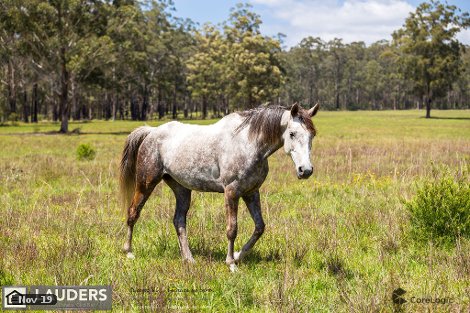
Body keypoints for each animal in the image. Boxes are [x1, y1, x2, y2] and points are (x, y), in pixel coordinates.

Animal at [120, 103, 320, 270]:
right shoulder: (231, 192)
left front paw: (238, 255)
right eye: (292, 133)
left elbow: (259, 227)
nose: (306, 170)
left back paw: (188, 258)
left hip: (182, 189)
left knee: (179, 221)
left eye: (312, 135)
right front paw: (231, 263)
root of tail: (151, 132)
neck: (249, 143)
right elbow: (232, 229)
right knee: (133, 212)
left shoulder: (251, 192)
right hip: (146, 183)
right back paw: (129, 252)